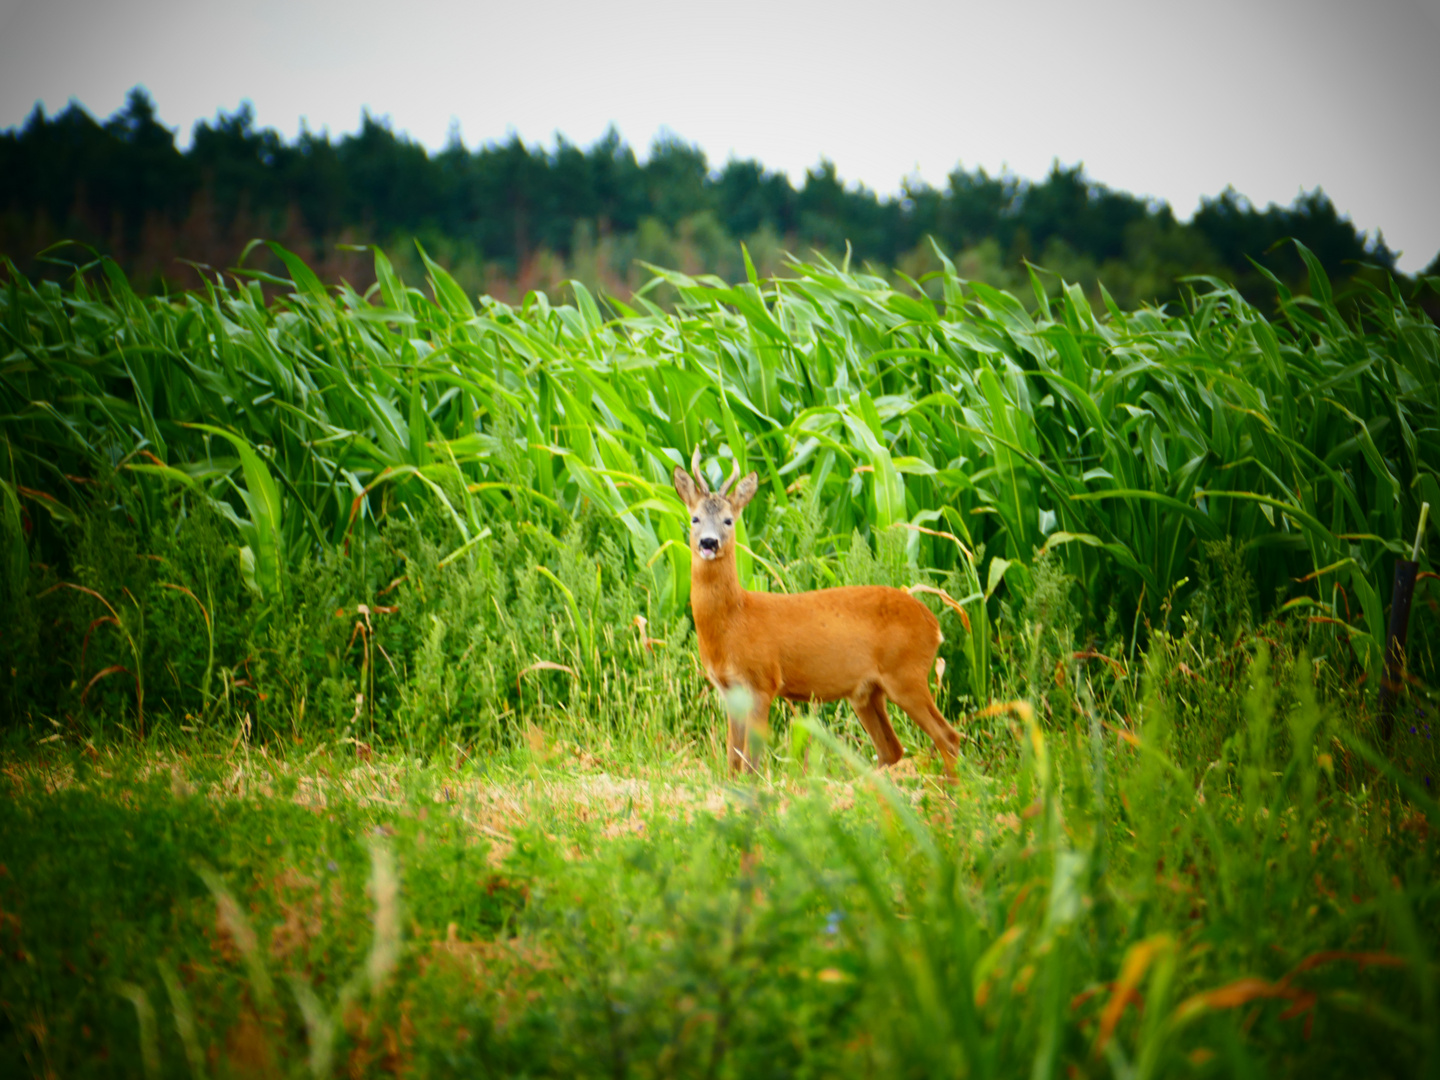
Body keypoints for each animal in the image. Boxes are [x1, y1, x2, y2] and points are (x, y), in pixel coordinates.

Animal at [668, 449, 961, 777]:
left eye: (729, 520)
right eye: (695, 518)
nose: (709, 542)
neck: (735, 620)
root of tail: (934, 625)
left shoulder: (763, 680)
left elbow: (751, 760)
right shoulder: (729, 690)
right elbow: (733, 758)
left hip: (906, 673)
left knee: (947, 736)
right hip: (867, 691)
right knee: (893, 749)